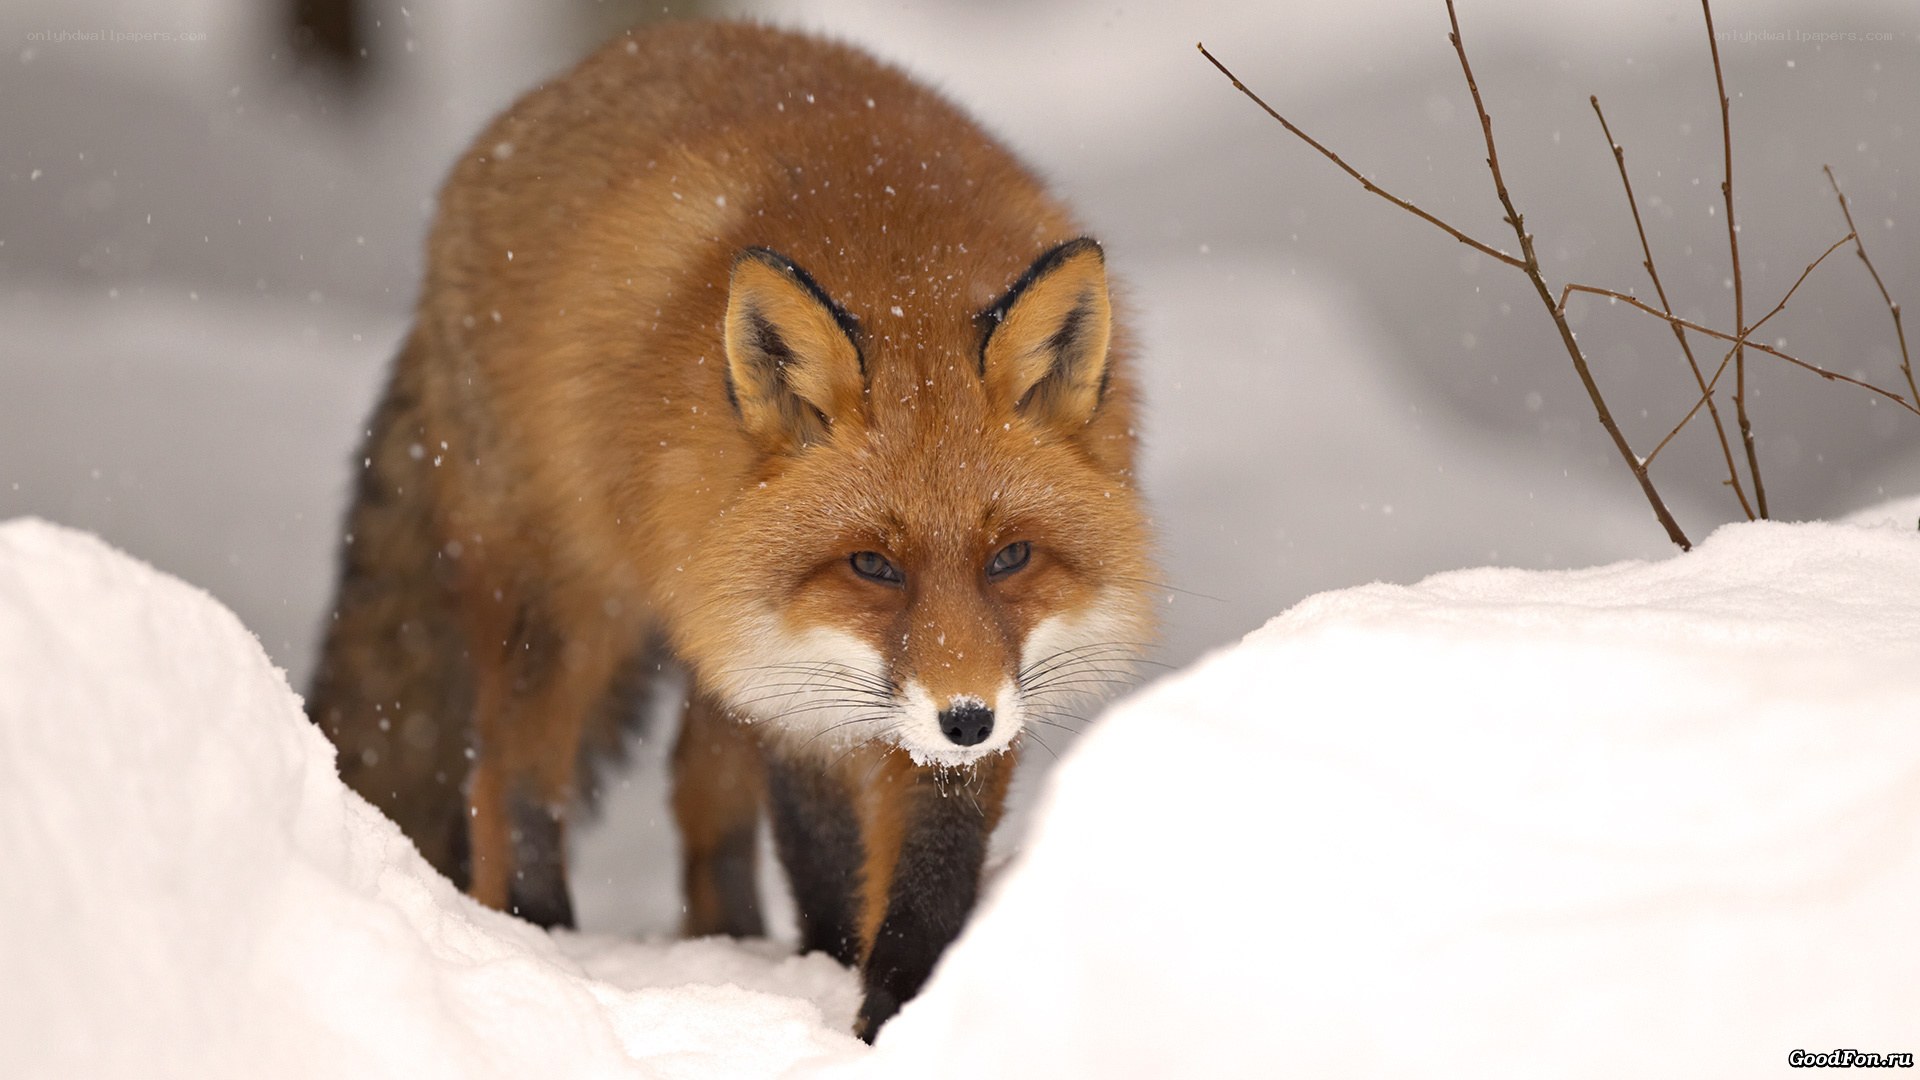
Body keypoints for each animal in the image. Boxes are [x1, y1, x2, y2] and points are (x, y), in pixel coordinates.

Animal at [307, 20, 1154, 1039]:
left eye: (1012, 557)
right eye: (872, 564)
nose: (966, 719)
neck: (900, 265)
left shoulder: (953, 681)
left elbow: (931, 867)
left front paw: (904, 1006)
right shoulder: (792, 682)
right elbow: (826, 853)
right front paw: (841, 978)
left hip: (707, 628)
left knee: (696, 791)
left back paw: (732, 940)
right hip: (569, 606)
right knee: (506, 777)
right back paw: (542, 936)